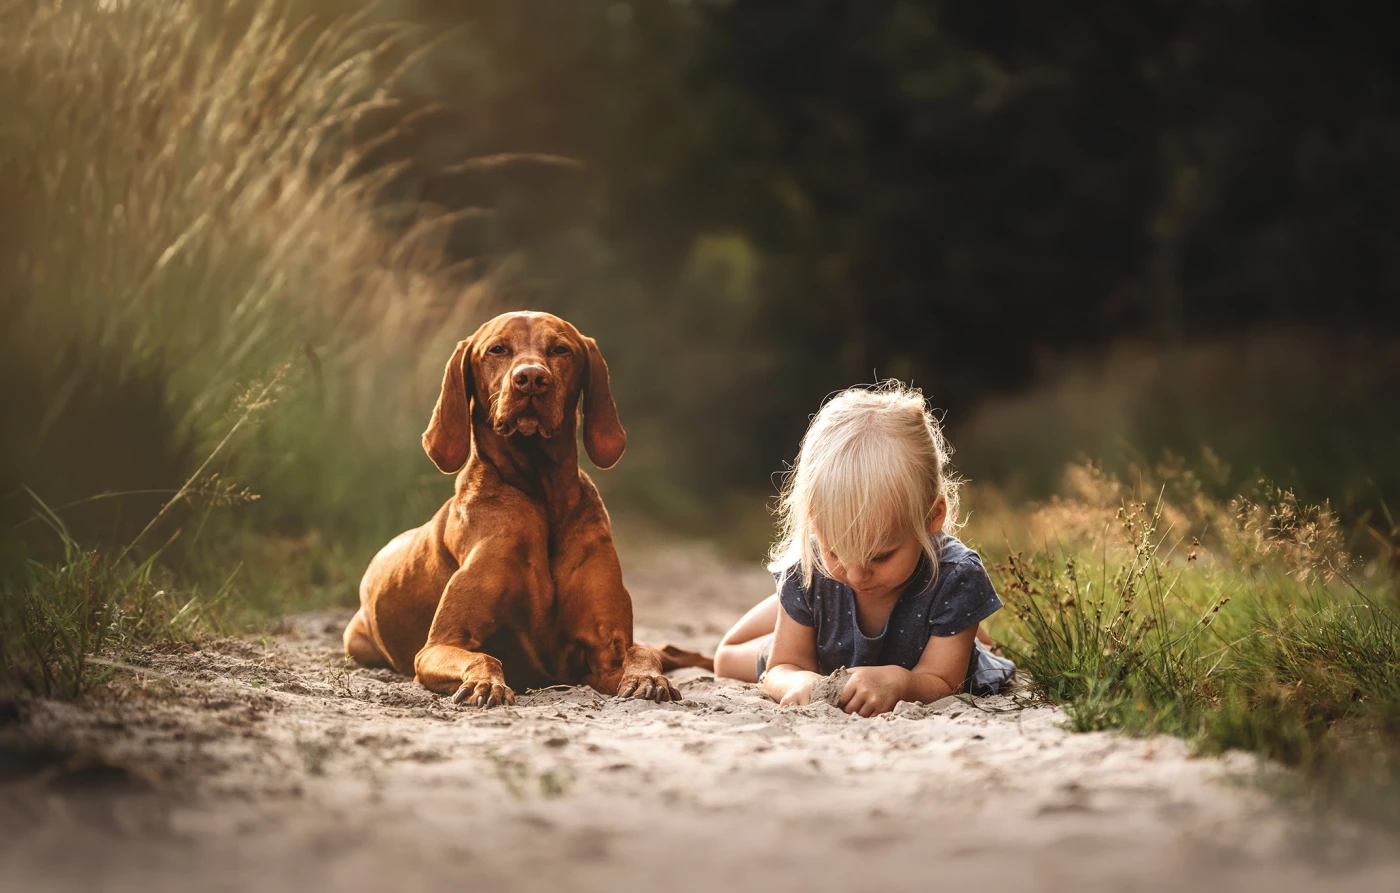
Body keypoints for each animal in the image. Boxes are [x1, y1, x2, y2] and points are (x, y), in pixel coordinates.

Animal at [344, 310, 683, 711]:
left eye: (560, 349)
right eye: (497, 349)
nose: (531, 378)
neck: (541, 497)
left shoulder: (605, 652)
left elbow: (641, 652)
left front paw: (649, 678)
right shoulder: (439, 645)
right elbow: (484, 657)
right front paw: (485, 685)